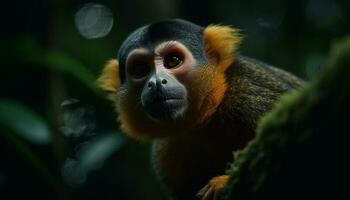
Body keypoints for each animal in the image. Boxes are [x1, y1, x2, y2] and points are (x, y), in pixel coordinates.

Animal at [97, 19, 302, 200]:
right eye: (141, 69)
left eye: (173, 61)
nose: (156, 83)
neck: (206, 119)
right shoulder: (164, 151)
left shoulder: (248, 92)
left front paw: (222, 183)